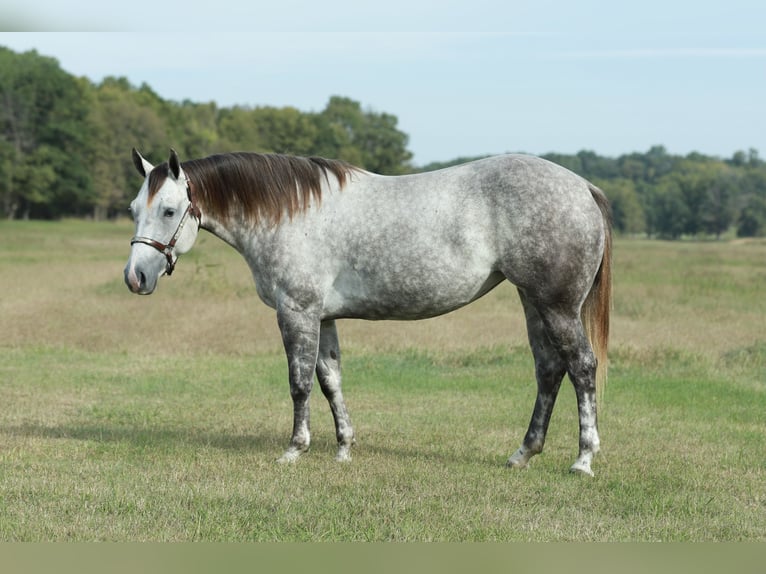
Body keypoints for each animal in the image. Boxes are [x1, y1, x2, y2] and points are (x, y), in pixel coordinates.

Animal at [124, 148, 612, 476]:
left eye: (169, 210)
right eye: (133, 210)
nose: (135, 277)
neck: (292, 214)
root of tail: (582, 187)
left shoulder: (297, 312)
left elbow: (299, 384)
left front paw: (295, 448)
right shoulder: (323, 317)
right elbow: (330, 380)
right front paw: (343, 448)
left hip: (558, 307)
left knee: (582, 367)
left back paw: (583, 459)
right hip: (532, 302)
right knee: (548, 370)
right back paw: (523, 454)